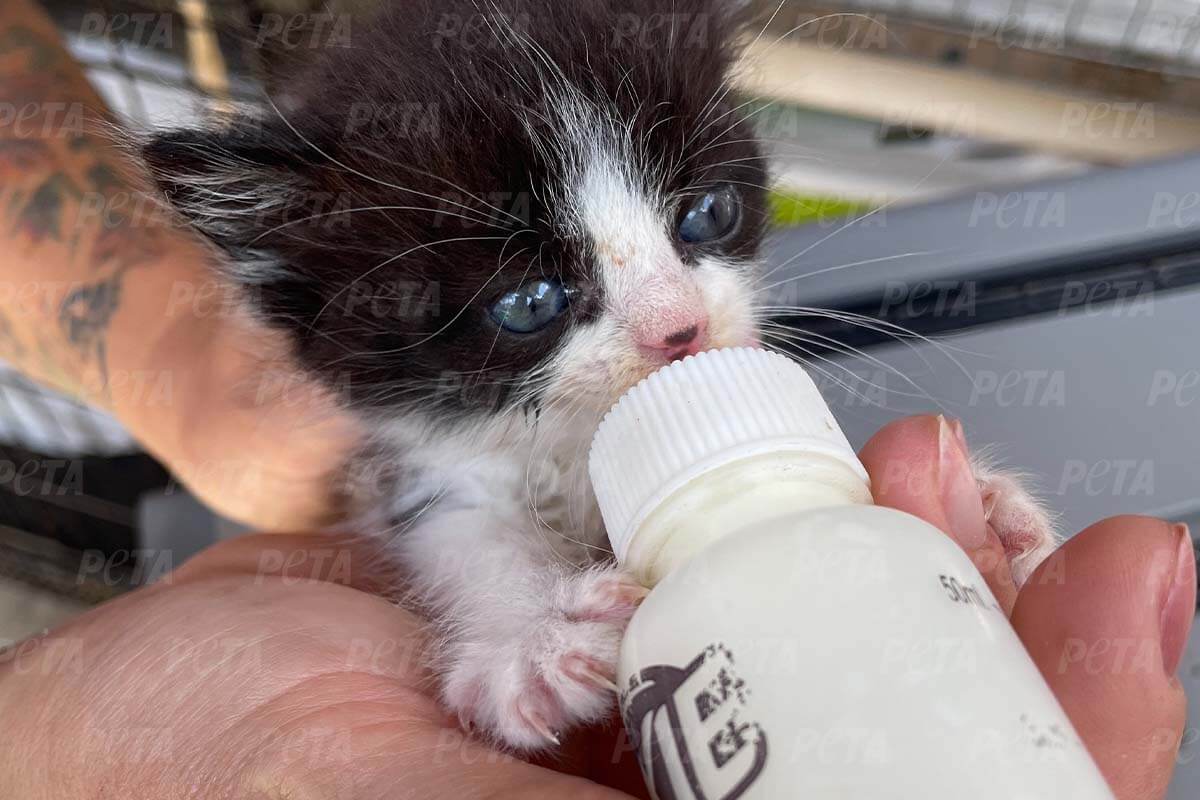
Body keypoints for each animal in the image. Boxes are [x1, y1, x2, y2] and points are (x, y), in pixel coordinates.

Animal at [145, 0, 1056, 753]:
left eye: (708, 214)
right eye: (529, 302)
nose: (680, 328)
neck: (574, 447)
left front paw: (989, 509)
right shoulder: (419, 464)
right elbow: (459, 530)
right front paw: (532, 639)